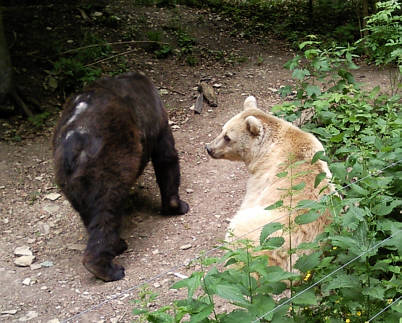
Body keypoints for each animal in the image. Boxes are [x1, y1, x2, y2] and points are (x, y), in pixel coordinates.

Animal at [52, 72, 189, 282]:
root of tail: (73, 141)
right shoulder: (157, 119)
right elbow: (166, 158)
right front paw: (177, 206)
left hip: (70, 182)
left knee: (88, 214)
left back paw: (116, 245)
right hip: (107, 161)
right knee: (107, 211)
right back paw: (106, 267)